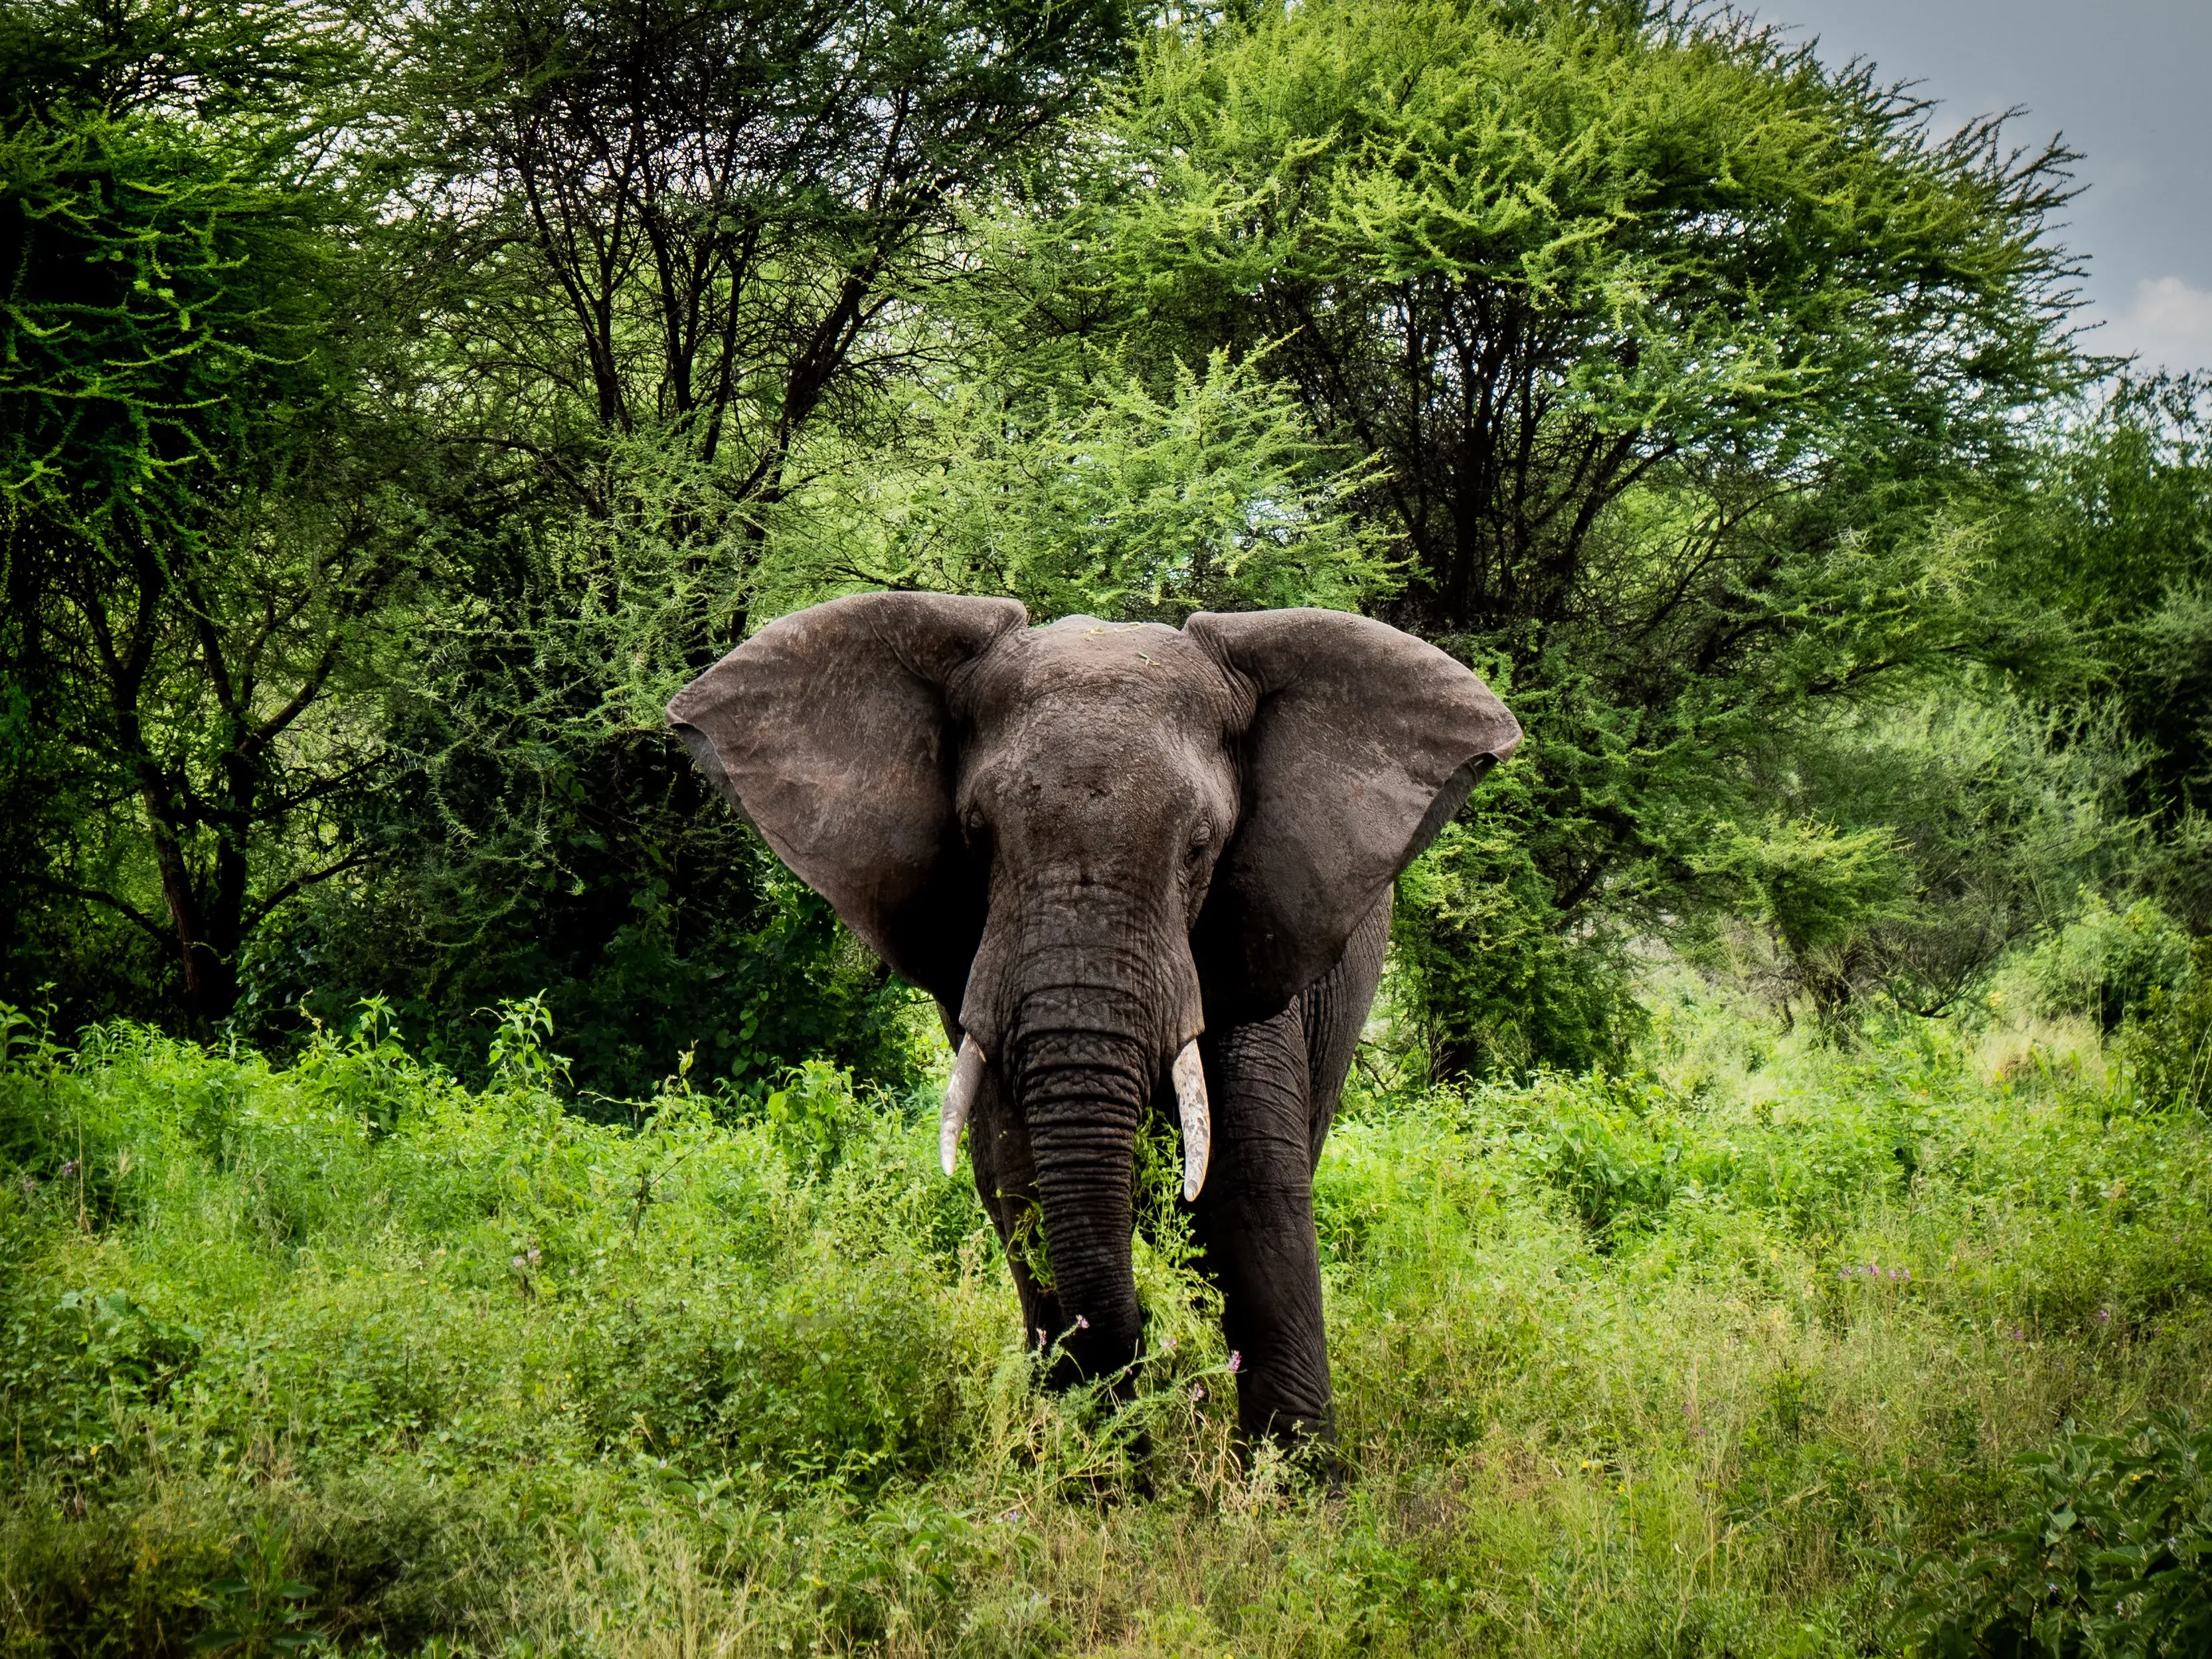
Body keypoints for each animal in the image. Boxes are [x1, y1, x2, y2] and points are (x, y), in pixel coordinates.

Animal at [668, 595, 1519, 1459]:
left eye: (1201, 846)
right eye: (975, 834)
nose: (1144, 1340)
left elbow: (1251, 1194)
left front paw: (1297, 1475)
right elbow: (1020, 1180)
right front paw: (1097, 1455)